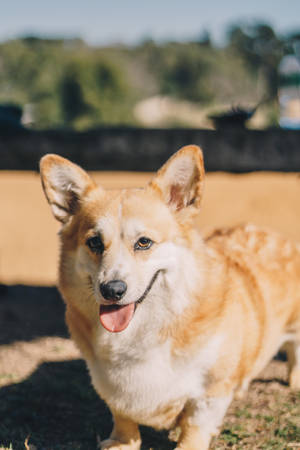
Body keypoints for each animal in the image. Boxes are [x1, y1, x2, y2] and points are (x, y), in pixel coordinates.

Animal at [39, 146, 300, 448]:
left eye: (144, 242)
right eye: (94, 242)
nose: (112, 290)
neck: (142, 331)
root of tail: (272, 233)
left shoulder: (209, 393)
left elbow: (196, 425)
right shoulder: (110, 386)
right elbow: (122, 415)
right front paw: (122, 442)